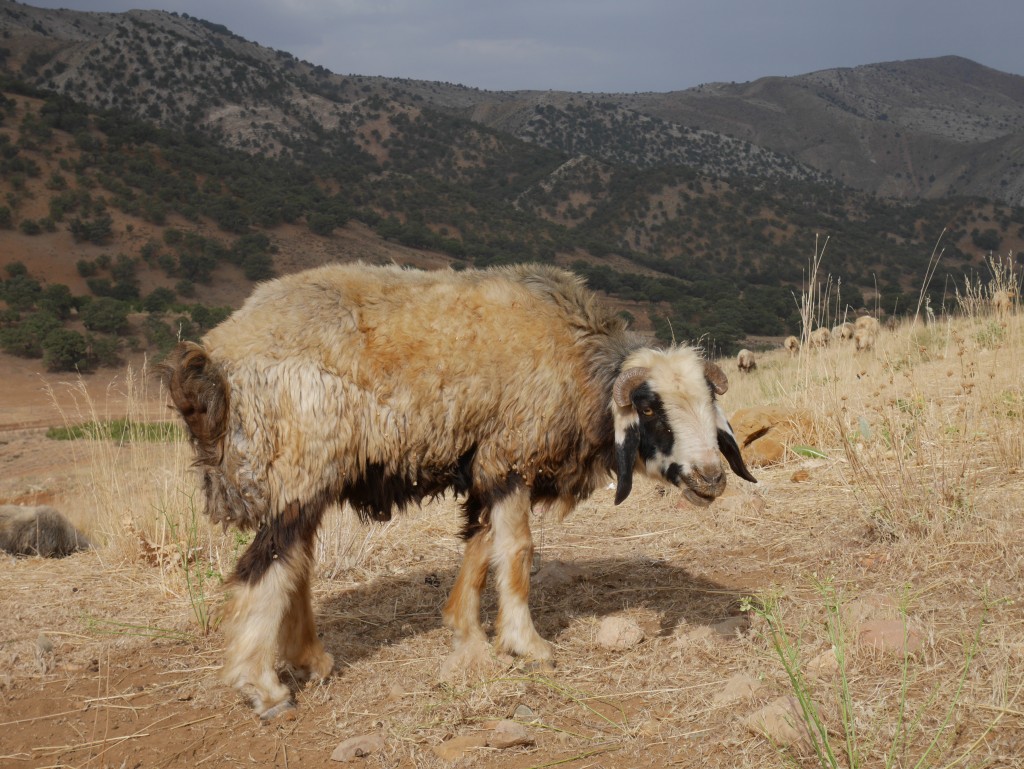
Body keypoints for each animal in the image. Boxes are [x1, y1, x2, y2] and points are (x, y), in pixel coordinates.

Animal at [157, 262, 753, 720]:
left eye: (710, 404)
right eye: (650, 409)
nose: (711, 478)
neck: (576, 360)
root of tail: (216, 361)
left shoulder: (485, 462)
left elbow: (480, 548)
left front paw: (466, 635)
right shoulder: (510, 453)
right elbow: (517, 552)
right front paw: (526, 644)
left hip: (307, 476)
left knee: (293, 563)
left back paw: (312, 661)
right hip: (299, 465)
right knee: (264, 568)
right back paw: (263, 688)